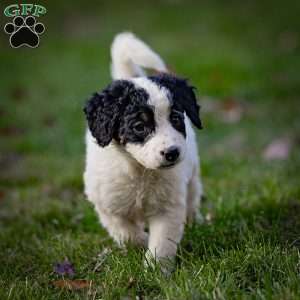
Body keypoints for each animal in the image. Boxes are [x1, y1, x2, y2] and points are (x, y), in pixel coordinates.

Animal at [83, 32, 203, 272]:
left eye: (176, 118)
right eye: (139, 126)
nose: (172, 153)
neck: (140, 171)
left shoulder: (168, 206)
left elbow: (161, 242)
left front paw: (155, 269)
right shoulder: (108, 206)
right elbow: (127, 233)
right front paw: (140, 244)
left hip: (193, 173)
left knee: (193, 196)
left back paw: (196, 221)